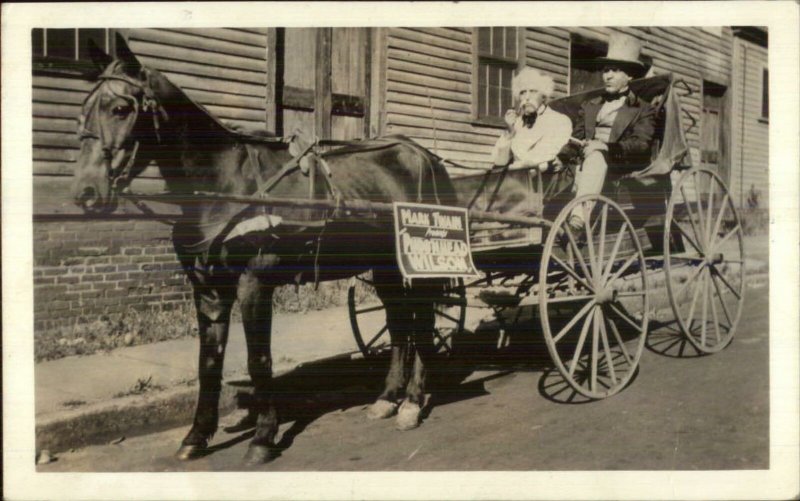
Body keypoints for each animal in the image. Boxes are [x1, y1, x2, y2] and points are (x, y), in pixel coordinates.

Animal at [73, 33, 462, 462]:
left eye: (121, 108)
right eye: (83, 109)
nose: (86, 193)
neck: (223, 182)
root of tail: (424, 155)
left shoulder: (254, 282)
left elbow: (259, 359)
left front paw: (262, 437)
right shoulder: (207, 288)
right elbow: (209, 362)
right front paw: (197, 436)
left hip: (417, 264)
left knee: (422, 324)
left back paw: (412, 402)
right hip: (385, 267)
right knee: (398, 324)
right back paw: (387, 398)